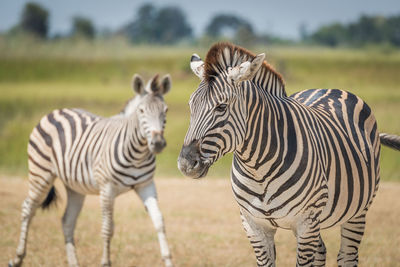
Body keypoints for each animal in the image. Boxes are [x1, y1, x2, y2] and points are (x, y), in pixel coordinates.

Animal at [9, 74, 173, 267]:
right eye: (141, 111)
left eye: (166, 110)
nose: (158, 143)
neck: (138, 154)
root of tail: (56, 111)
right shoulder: (107, 189)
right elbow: (107, 228)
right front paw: (105, 262)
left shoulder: (146, 185)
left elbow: (159, 221)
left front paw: (168, 260)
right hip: (40, 174)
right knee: (28, 208)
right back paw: (17, 258)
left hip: (74, 187)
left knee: (67, 221)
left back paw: (73, 262)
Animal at [178, 42, 400, 267]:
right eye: (190, 106)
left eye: (221, 107)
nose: (186, 163)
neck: (257, 169)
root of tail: (330, 88)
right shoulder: (254, 225)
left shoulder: (306, 222)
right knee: (321, 252)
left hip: (358, 211)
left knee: (347, 255)